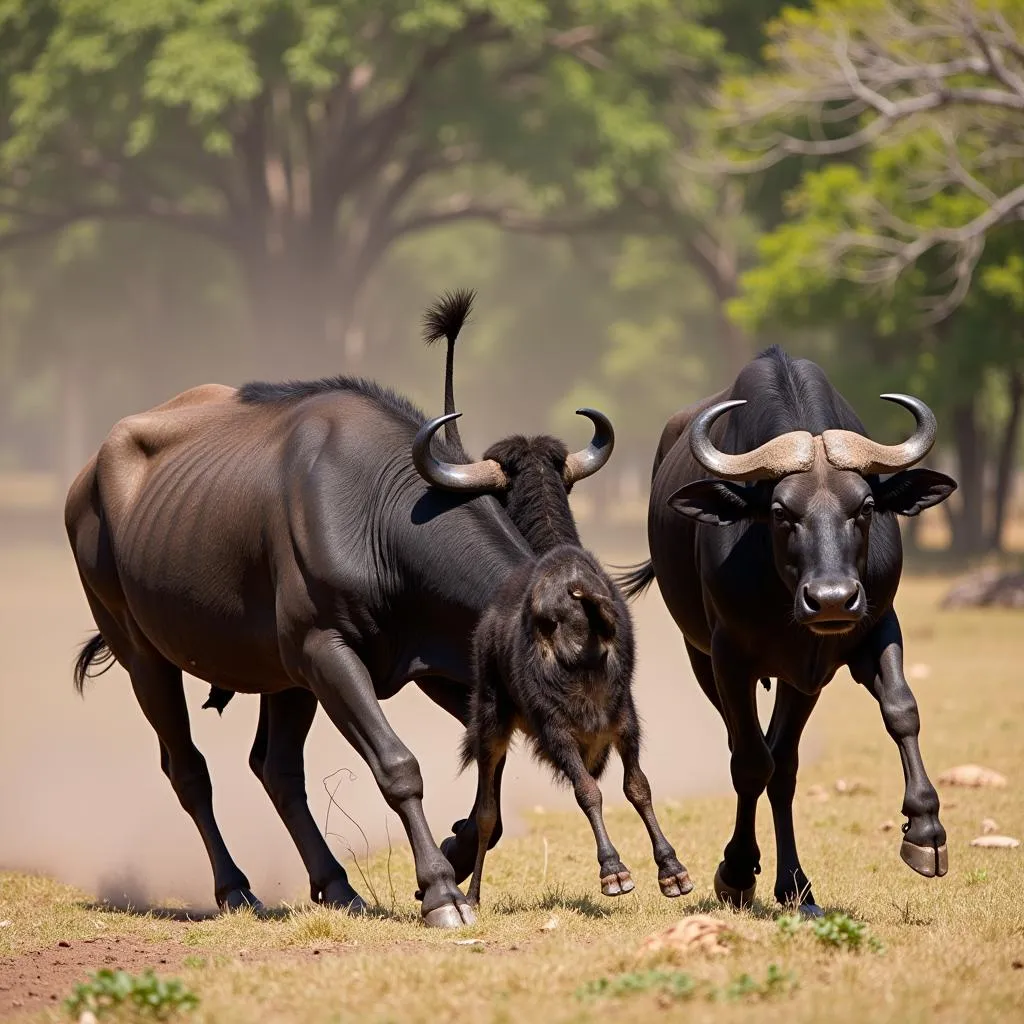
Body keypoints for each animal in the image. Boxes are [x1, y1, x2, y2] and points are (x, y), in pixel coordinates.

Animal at [614, 348, 958, 917]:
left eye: (864, 506)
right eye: (780, 511)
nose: (832, 599)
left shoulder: (864, 634)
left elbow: (901, 710)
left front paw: (926, 832)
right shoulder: (729, 657)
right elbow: (751, 761)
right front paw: (735, 871)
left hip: (800, 680)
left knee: (786, 765)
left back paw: (797, 886)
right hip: (701, 658)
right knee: (749, 751)